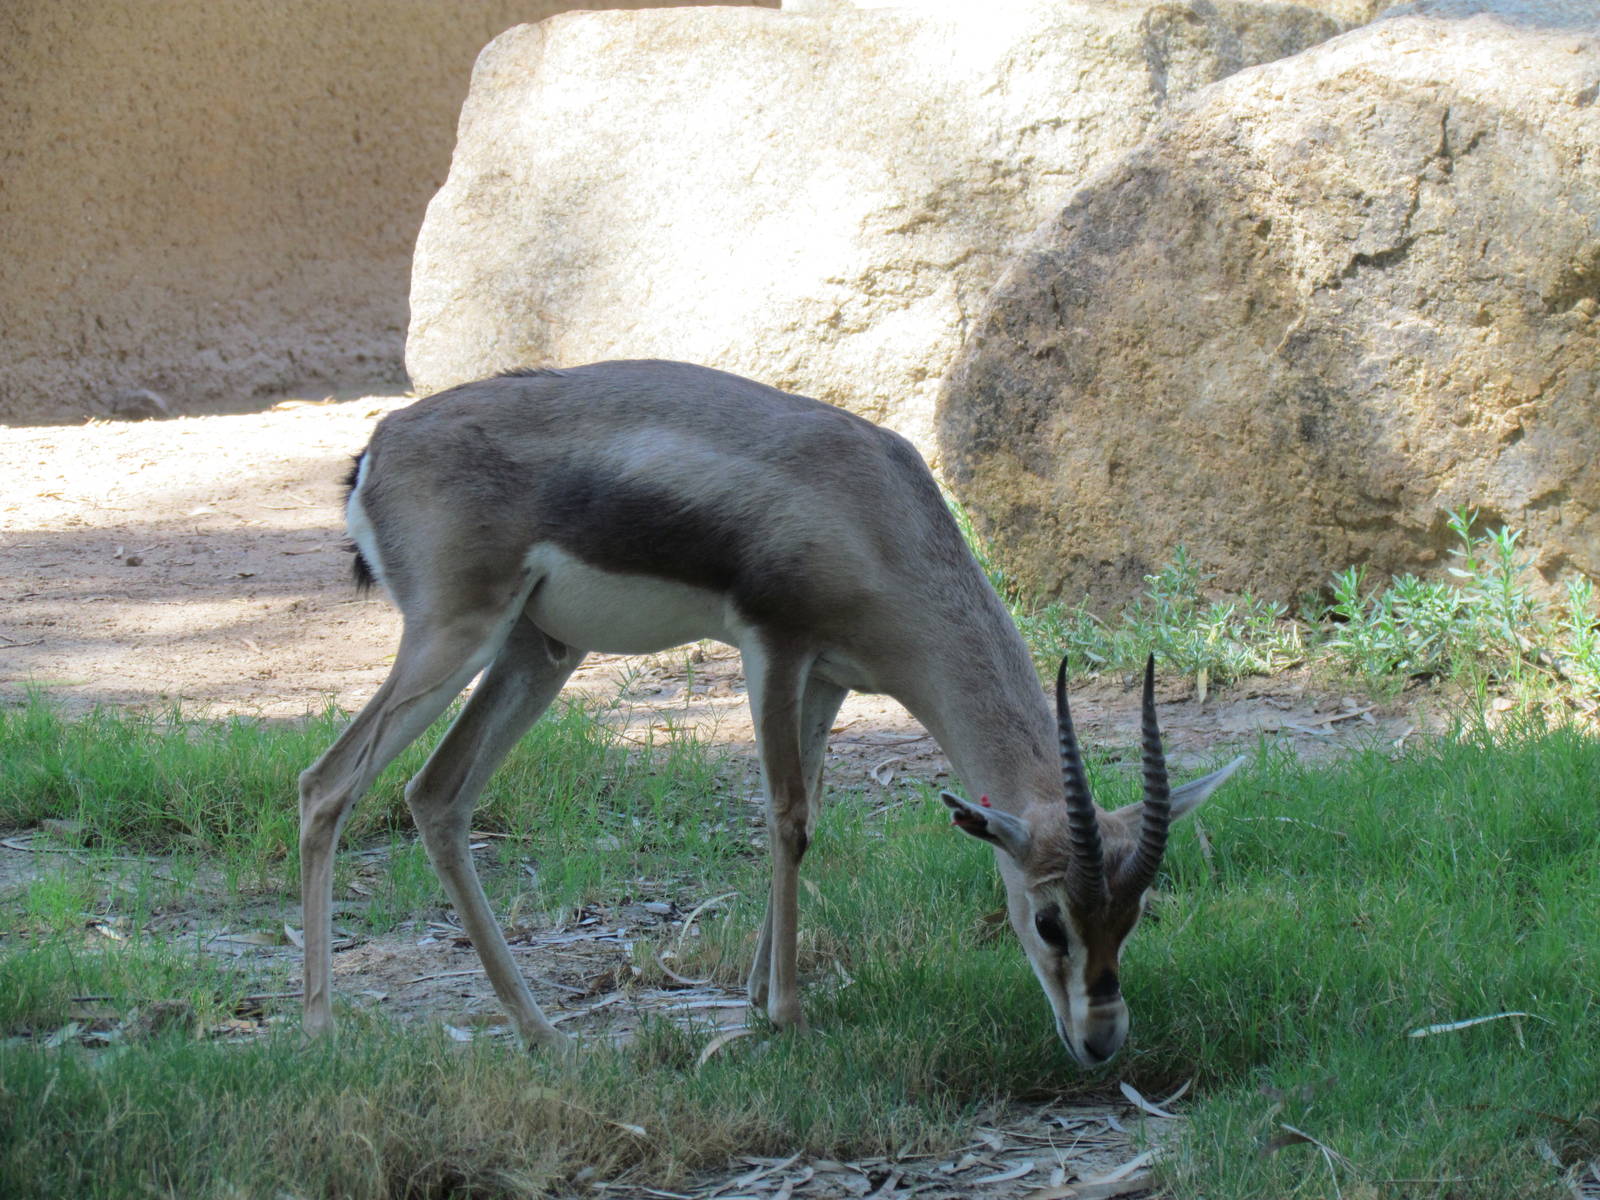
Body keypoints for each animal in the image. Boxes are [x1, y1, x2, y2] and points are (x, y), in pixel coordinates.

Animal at [298, 359, 1243, 1066]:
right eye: (1050, 920)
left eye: (1135, 914)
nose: (1102, 1040)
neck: (878, 516)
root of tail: (378, 445)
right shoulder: (774, 648)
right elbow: (786, 816)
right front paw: (786, 1013)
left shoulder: (829, 678)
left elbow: (812, 810)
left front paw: (757, 994)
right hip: (454, 637)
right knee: (326, 785)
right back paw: (321, 1029)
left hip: (539, 651)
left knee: (437, 796)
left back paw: (541, 1033)